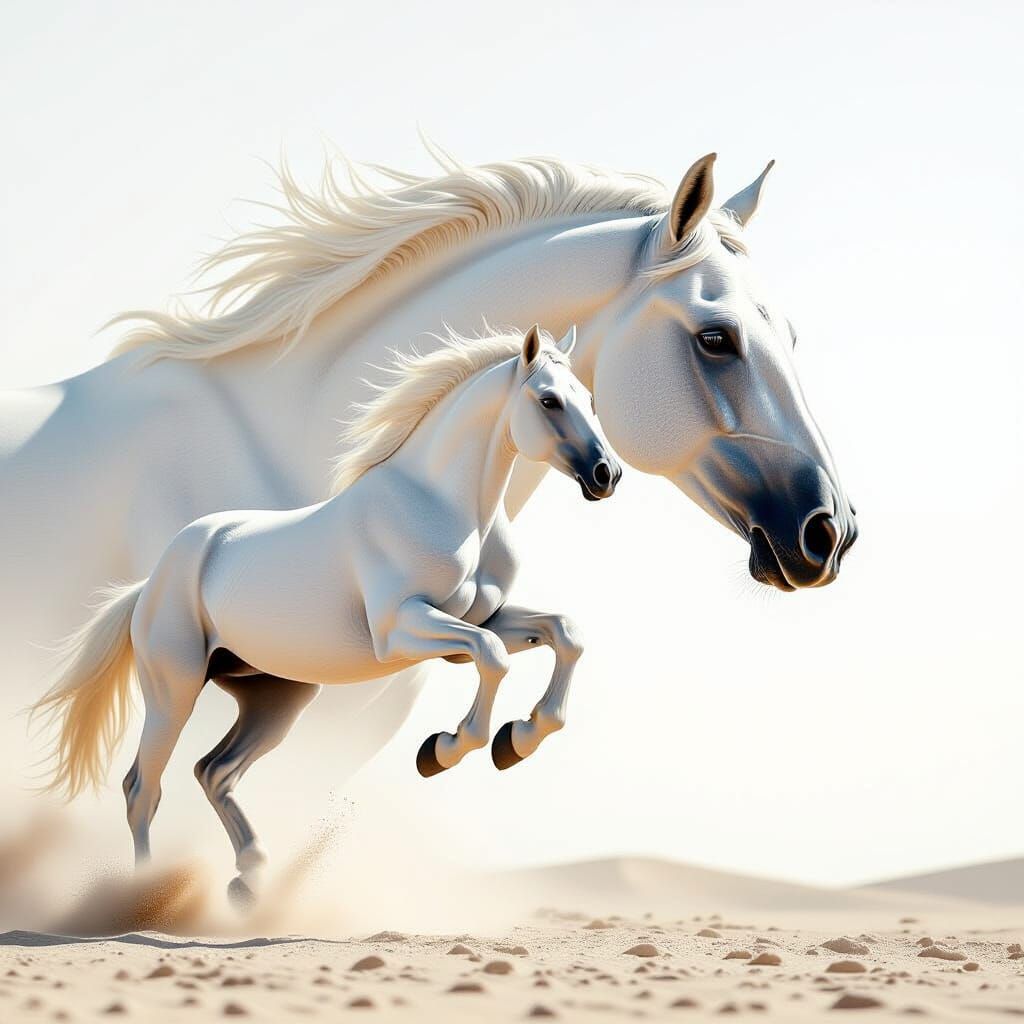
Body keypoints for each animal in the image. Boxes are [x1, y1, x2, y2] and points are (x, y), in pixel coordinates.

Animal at [33, 324, 620, 903]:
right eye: (548, 400)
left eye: (591, 400)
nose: (606, 474)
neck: (443, 507)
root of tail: (153, 581)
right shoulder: (403, 629)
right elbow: (494, 657)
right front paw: (444, 750)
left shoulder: (484, 620)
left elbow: (565, 634)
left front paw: (516, 740)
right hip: (172, 691)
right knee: (143, 788)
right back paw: (145, 896)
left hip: (275, 699)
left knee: (215, 772)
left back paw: (251, 878)